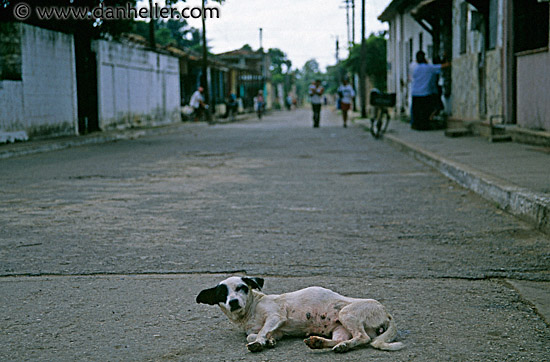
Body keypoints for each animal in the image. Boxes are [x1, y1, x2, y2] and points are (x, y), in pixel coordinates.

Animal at [196, 276, 404, 352]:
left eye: (242, 288)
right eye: (222, 294)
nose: (233, 302)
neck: (251, 310)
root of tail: (387, 313)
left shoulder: (275, 316)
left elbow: (261, 332)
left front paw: (260, 342)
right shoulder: (275, 329)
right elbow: (256, 334)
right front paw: (269, 341)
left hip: (347, 313)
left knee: (363, 337)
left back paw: (342, 346)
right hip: (340, 329)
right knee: (348, 338)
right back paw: (322, 343)